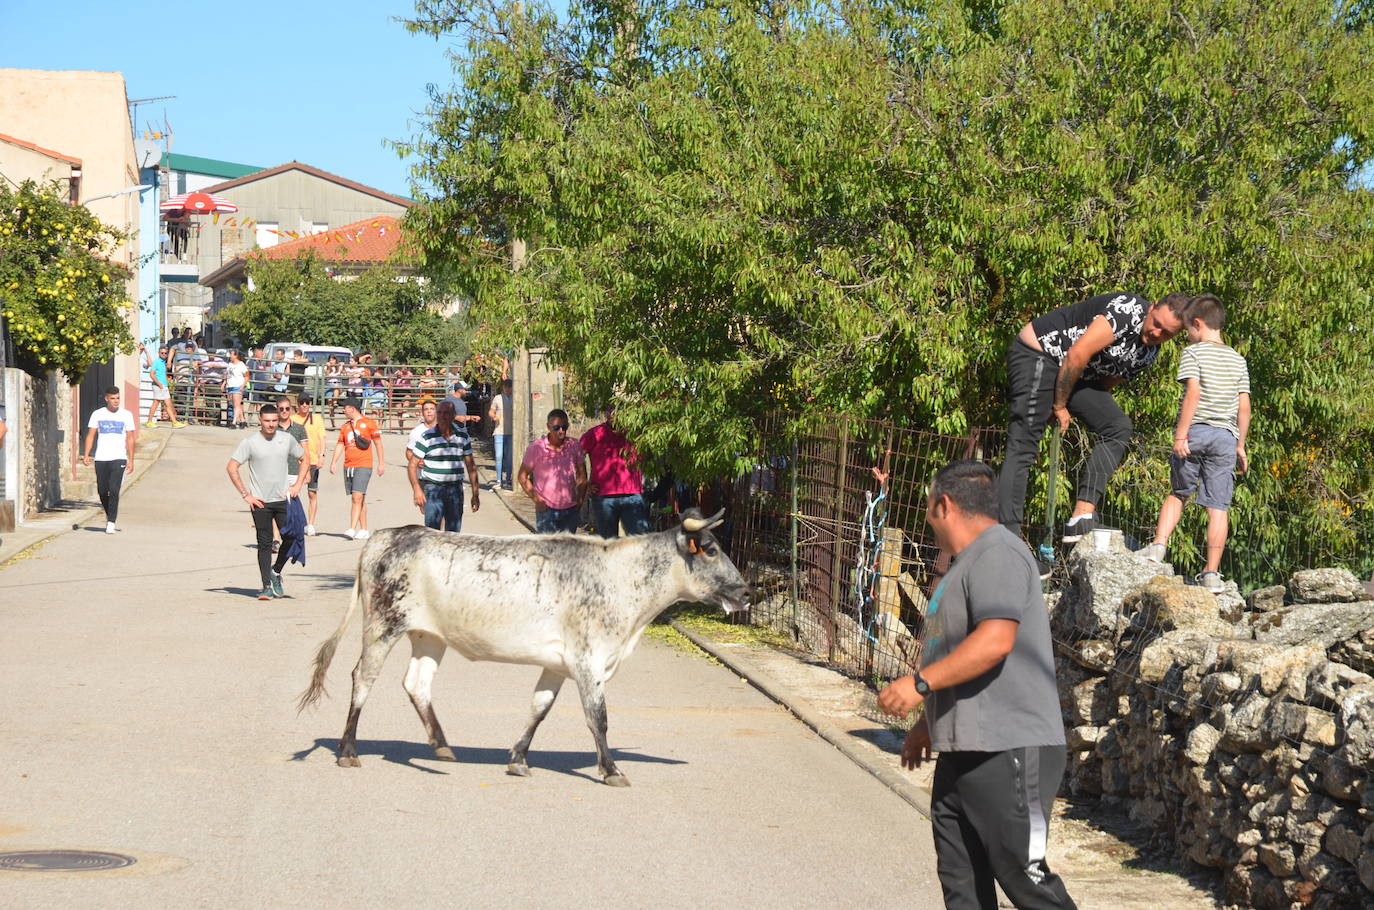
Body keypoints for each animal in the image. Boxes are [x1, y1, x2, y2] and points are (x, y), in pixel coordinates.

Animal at [298, 508, 752, 786]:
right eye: (711, 550)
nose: (747, 592)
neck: (622, 579)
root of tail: (388, 535)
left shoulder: (559, 664)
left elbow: (540, 708)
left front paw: (517, 758)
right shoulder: (589, 661)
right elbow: (598, 719)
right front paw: (611, 770)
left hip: (429, 636)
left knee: (417, 683)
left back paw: (442, 746)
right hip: (381, 626)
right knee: (362, 678)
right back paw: (348, 750)